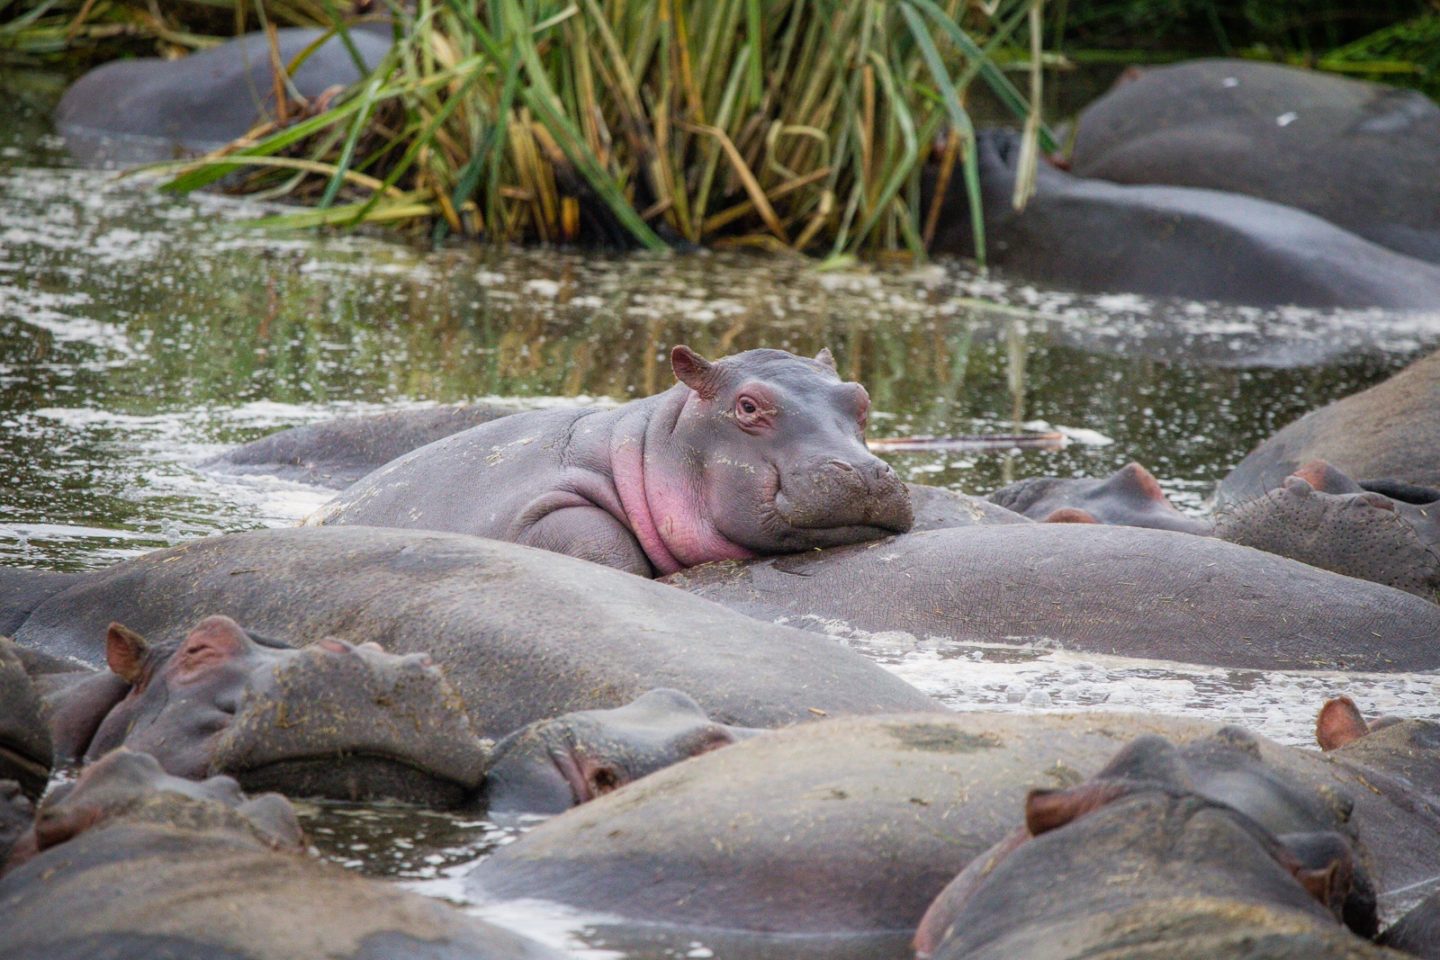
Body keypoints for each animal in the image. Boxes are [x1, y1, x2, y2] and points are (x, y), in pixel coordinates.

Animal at [309, 346, 915, 576]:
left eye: (860, 397)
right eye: (747, 405)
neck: (649, 446)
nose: (865, 472)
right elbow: (603, 546)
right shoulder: (550, 509)